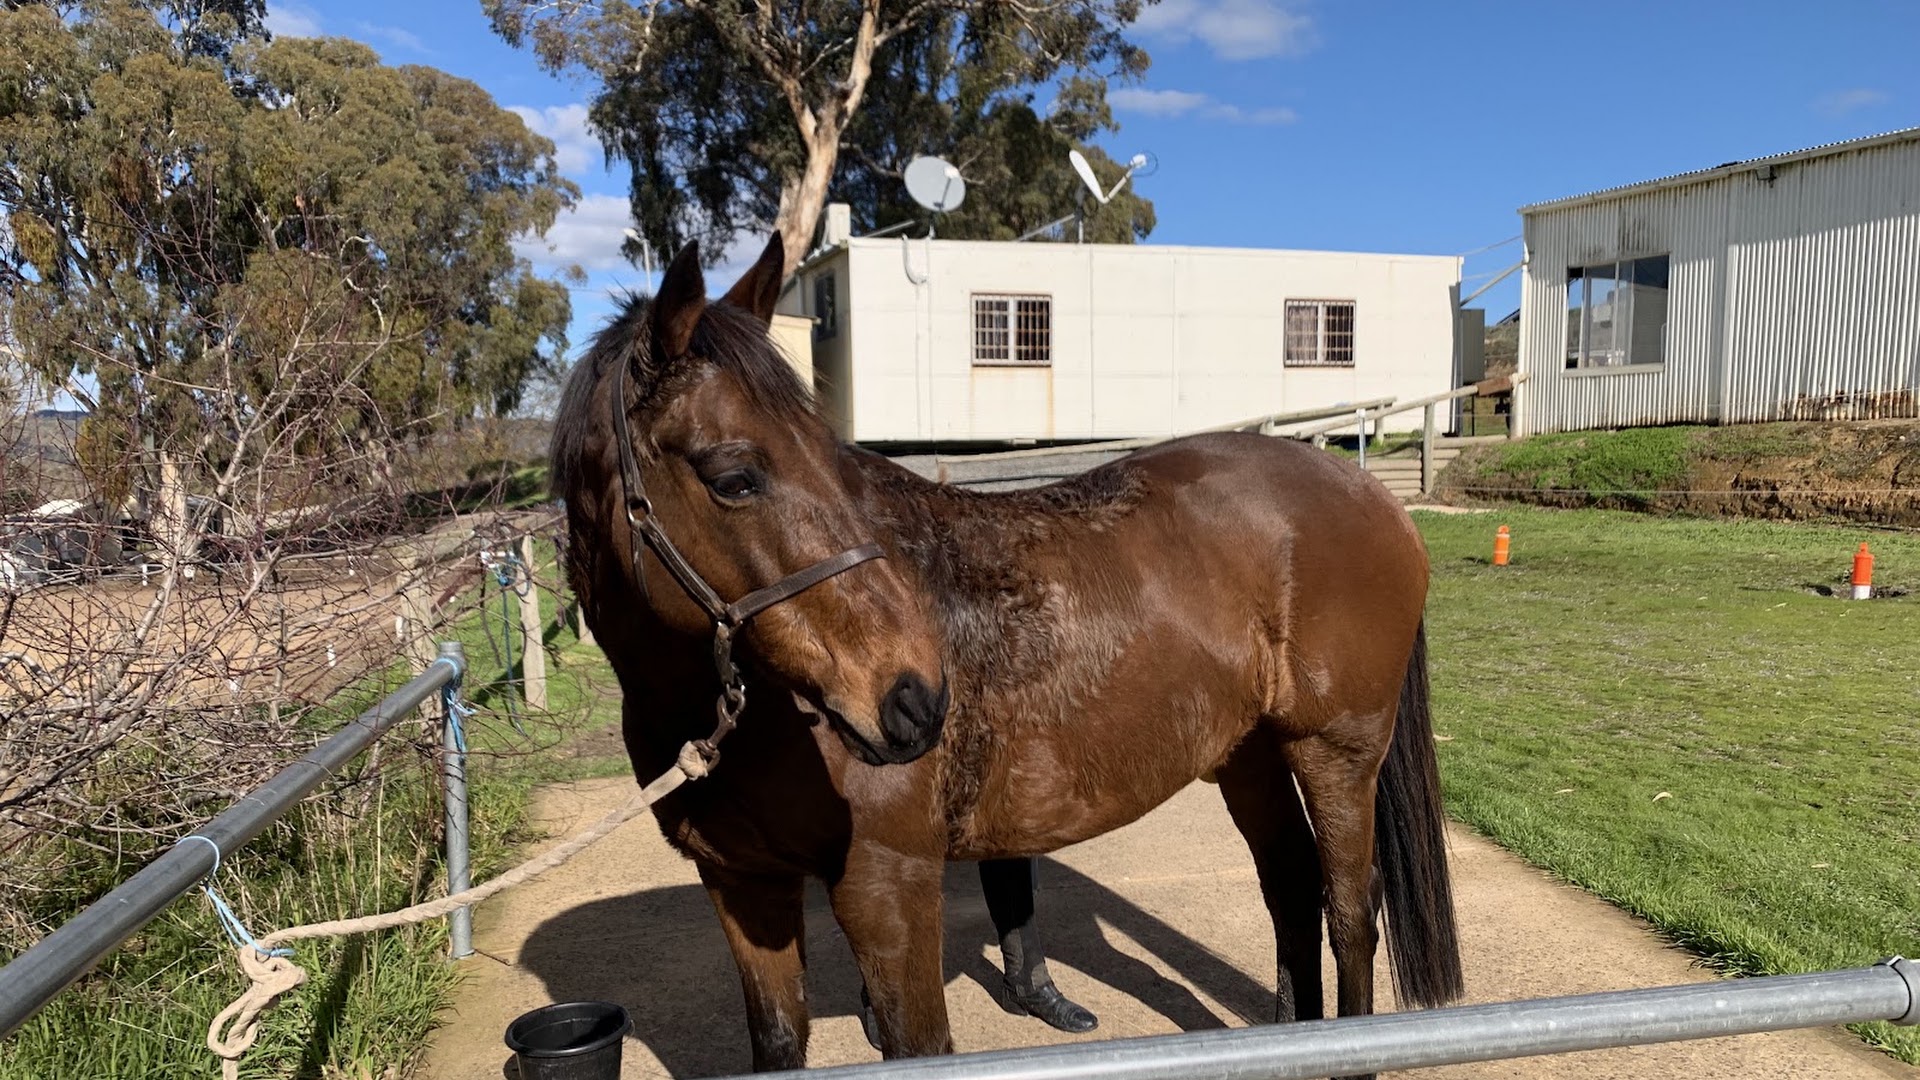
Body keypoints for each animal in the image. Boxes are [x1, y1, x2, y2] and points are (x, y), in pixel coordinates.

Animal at [550, 232, 1463, 1074]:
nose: (915, 699)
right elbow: (777, 1044)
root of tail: (1372, 494)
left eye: (828, 454)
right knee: (1292, 890)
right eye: (734, 477)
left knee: (1350, 910)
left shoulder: (886, 889)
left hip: (1335, 752)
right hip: (1248, 756)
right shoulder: (744, 889)